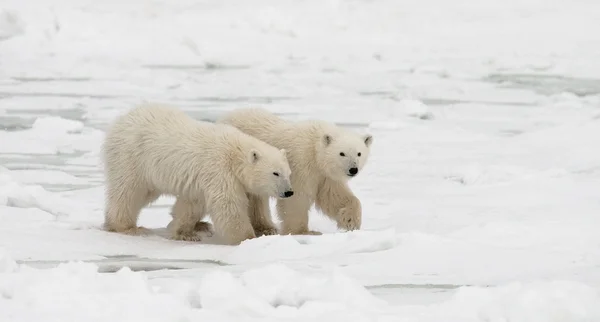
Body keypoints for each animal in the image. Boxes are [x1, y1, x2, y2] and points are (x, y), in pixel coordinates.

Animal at [102, 104, 292, 245]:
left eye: (289, 173)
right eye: (275, 173)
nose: (289, 192)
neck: (234, 152)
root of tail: (121, 120)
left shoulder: (202, 180)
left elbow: (191, 204)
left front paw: (185, 232)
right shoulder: (219, 170)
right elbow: (228, 206)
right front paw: (248, 238)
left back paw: (202, 225)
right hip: (132, 158)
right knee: (129, 192)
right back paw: (128, 227)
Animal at [218, 108, 372, 234]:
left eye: (359, 153)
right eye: (342, 153)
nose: (353, 169)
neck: (314, 148)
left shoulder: (325, 175)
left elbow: (333, 195)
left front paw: (351, 221)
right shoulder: (301, 163)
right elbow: (297, 198)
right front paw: (303, 231)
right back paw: (266, 228)